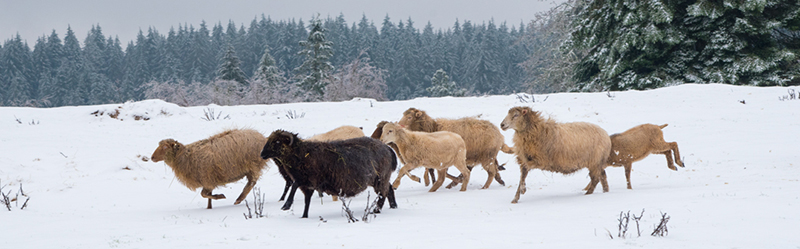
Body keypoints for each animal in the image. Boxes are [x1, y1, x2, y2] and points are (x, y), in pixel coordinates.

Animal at [260, 130, 398, 218]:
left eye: (277, 142)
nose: (262, 154)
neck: (302, 153)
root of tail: (388, 148)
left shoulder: (309, 179)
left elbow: (294, 186)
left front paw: (286, 205)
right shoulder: (307, 186)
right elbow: (306, 201)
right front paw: (304, 217)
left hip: (380, 178)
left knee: (383, 194)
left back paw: (376, 211)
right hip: (382, 178)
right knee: (389, 189)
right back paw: (393, 206)